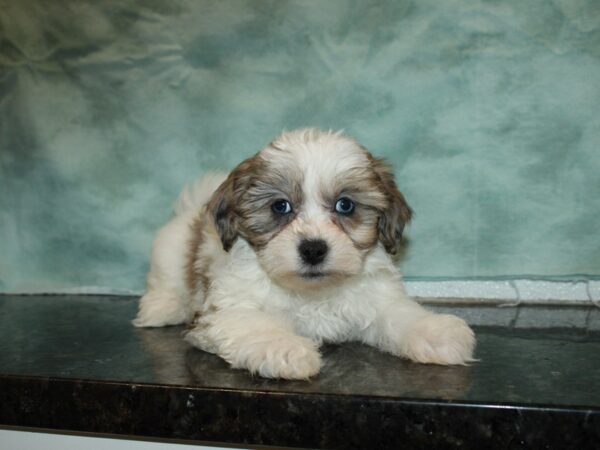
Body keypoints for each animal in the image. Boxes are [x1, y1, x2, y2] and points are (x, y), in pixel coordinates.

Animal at [134, 128, 476, 378]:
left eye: (345, 205)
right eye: (280, 206)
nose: (313, 249)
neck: (312, 294)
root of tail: (192, 210)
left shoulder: (376, 299)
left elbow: (398, 313)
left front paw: (436, 332)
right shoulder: (222, 312)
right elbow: (253, 323)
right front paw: (285, 349)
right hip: (168, 256)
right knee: (166, 284)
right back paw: (161, 309)